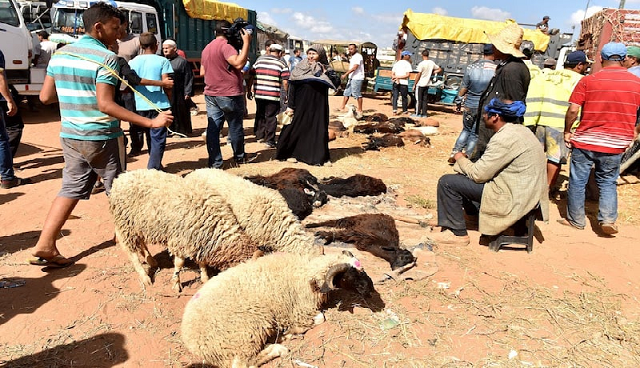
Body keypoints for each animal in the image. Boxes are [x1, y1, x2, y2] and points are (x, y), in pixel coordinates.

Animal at [109, 169, 264, 290]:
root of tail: (120, 178)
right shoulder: (180, 239)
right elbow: (179, 263)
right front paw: (176, 283)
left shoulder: (199, 240)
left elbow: (202, 262)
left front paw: (204, 277)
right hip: (125, 224)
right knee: (131, 252)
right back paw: (145, 277)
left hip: (138, 225)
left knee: (141, 243)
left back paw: (151, 260)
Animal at [180, 250, 372, 368]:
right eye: (350, 275)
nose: (370, 290)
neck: (305, 273)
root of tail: (193, 343)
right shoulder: (298, 311)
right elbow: (320, 318)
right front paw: (292, 331)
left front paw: (289, 332)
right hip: (248, 329)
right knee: (242, 364)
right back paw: (278, 347)